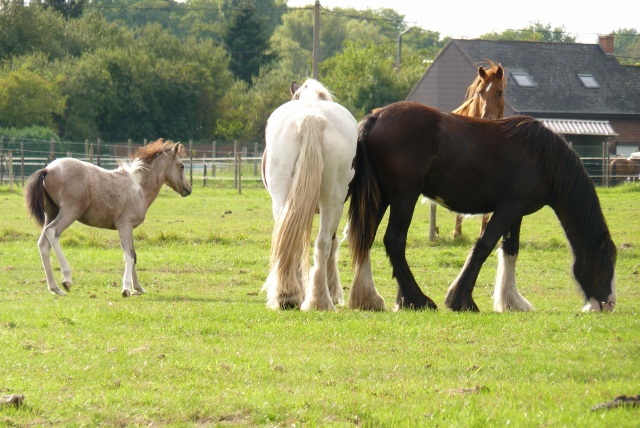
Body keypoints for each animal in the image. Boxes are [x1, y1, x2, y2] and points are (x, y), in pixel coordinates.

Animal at [25, 140, 190, 298]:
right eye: (182, 166)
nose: (188, 189)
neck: (139, 187)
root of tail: (48, 169)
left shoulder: (129, 228)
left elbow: (133, 254)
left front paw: (138, 288)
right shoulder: (124, 225)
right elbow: (129, 255)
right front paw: (126, 289)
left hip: (51, 213)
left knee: (43, 244)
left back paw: (55, 289)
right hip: (70, 211)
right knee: (52, 232)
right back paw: (67, 279)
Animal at [348, 102, 616, 312]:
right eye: (606, 262)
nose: (609, 303)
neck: (542, 158)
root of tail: (377, 117)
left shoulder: (517, 212)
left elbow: (510, 249)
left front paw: (511, 301)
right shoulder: (507, 209)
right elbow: (484, 246)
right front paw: (462, 299)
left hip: (382, 197)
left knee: (366, 239)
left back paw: (373, 299)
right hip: (404, 198)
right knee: (394, 241)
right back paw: (417, 299)